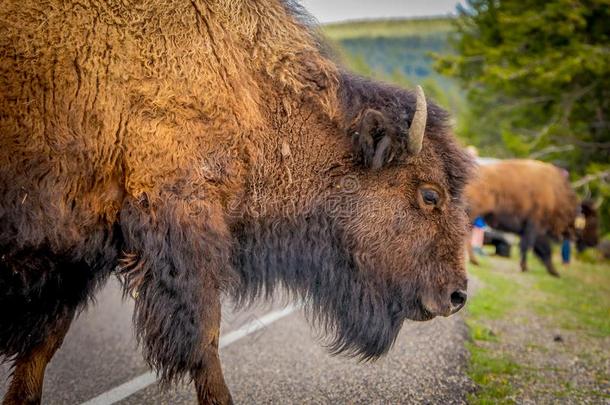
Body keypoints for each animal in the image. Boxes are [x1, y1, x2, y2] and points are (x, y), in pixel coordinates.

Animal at [0, 1, 470, 402]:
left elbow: (42, 347)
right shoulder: (181, 231)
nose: (457, 295)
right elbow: (204, 340)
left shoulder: (78, 252)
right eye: (430, 194)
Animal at [466, 159, 600, 276]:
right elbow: (537, 248)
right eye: (593, 220)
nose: (595, 242)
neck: (556, 194)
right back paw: (474, 261)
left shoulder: (532, 230)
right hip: (473, 214)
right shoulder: (536, 227)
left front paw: (552, 272)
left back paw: (474, 261)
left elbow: (539, 250)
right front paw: (527, 268)